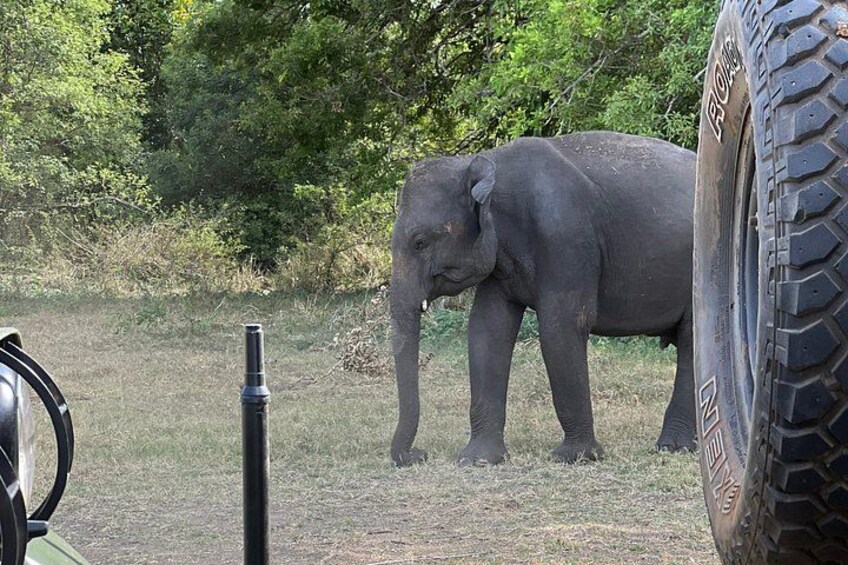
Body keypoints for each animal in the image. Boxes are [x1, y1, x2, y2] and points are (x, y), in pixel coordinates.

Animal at [389, 131, 696, 467]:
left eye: (420, 242)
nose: (417, 454)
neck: (488, 163)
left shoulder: (565, 236)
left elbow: (561, 326)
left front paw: (576, 456)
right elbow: (488, 329)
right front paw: (478, 460)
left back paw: (673, 447)